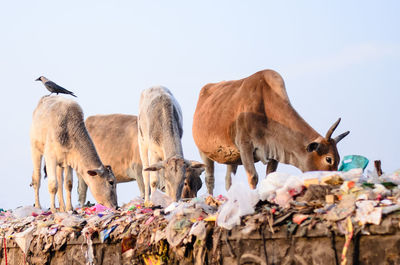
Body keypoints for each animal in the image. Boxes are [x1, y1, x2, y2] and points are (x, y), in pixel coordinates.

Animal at [192, 70, 348, 194]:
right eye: (328, 159)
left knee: (228, 181)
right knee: (210, 179)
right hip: (203, 151)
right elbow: (253, 177)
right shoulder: (245, 146)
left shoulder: (275, 151)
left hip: (231, 157)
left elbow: (269, 177)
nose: (336, 184)